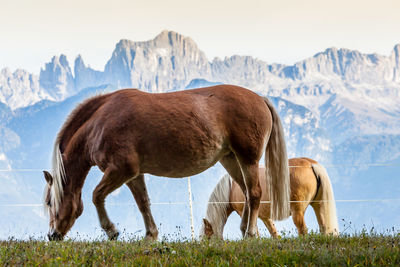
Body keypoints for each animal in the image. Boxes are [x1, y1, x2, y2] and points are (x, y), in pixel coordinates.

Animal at [42, 85, 290, 241]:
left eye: (49, 202)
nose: (52, 235)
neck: (100, 124)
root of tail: (260, 99)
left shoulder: (121, 170)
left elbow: (96, 196)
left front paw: (111, 231)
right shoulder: (133, 175)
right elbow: (143, 203)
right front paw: (150, 235)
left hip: (248, 159)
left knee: (255, 193)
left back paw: (250, 233)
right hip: (230, 160)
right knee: (247, 192)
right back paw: (245, 230)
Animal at [202, 157, 340, 239]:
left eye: (207, 237)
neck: (231, 187)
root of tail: (309, 163)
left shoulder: (243, 212)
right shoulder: (265, 217)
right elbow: (274, 233)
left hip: (298, 211)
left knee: (303, 230)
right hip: (319, 205)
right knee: (324, 228)